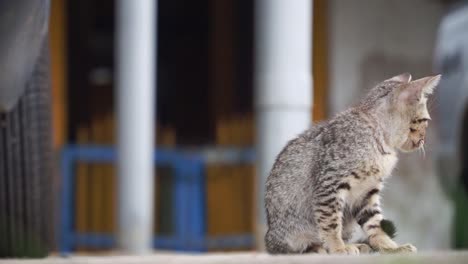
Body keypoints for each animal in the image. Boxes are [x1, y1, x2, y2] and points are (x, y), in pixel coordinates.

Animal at [266, 73, 440, 255]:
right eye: (425, 120)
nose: (423, 140)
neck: (380, 140)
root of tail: (269, 239)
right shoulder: (329, 185)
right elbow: (331, 222)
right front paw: (337, 247)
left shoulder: (367, 193)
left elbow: (375, 223)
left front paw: (391, 247)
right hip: (289, 234)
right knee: (293, 248)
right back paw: (319, 248)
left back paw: (357, 245)